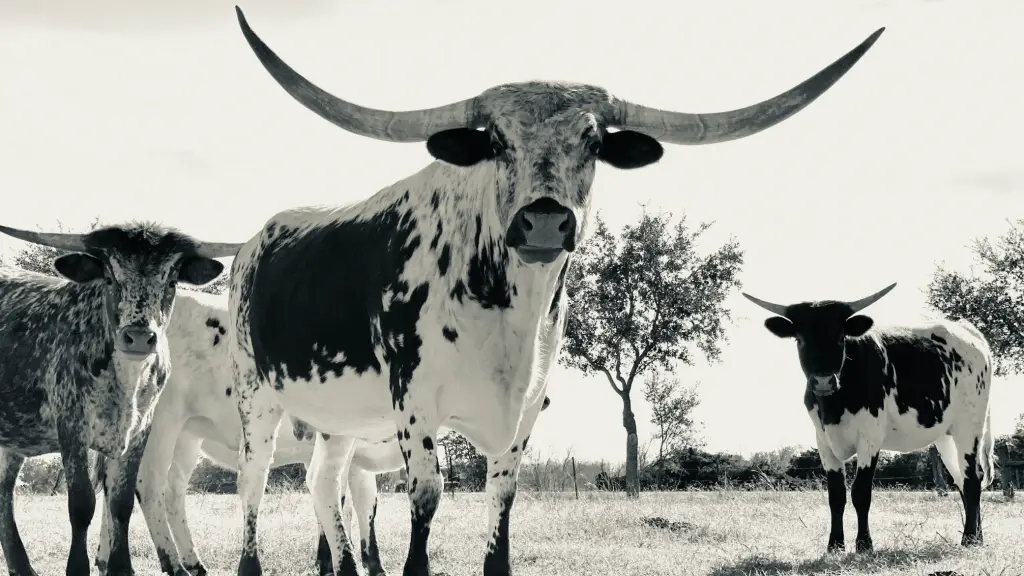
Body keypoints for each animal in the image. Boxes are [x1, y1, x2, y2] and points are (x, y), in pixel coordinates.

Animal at [0, 222, 239, 573]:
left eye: (170, 281)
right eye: (110, 278)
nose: (138, 337)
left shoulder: (138, 431)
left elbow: (120, 503)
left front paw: (121, 567)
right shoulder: (71, 426)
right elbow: (82, 503)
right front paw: (77, 568)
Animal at [88, 286, 552, 573]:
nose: (543, 400)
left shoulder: (360, 455)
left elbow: (362, 503)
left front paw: (365, 561)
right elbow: (340, 497)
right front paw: (335, 560)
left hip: (187, 434)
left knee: (159, 490)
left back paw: (158, 560)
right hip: (160, 423)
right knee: (144, 485)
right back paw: (169, 564)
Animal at [228, 8, 884, 573]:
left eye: (594, 144)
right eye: (495, 141)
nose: (543, 221)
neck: (507, 311)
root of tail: (253, 242)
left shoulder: (524, 413)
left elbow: (501, 517)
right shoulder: (415, 407)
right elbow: (425, 504)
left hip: (338, 418)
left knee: (323, 486)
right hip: (256, 396)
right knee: (253, 484)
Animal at [741, 282, 995, 553]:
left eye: (841, 337)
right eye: (800, 339)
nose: (823, 381)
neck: (835, 405)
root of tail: (968, 331)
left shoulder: (870, 437)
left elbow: (860, 492)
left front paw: (864, 543)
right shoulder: (823, 440)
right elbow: (836, 494)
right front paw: (835, 544)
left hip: (969, 426)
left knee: (972, 479)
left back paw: (969, 538)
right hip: (944, 435)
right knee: (961, 479)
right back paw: (978, 536)